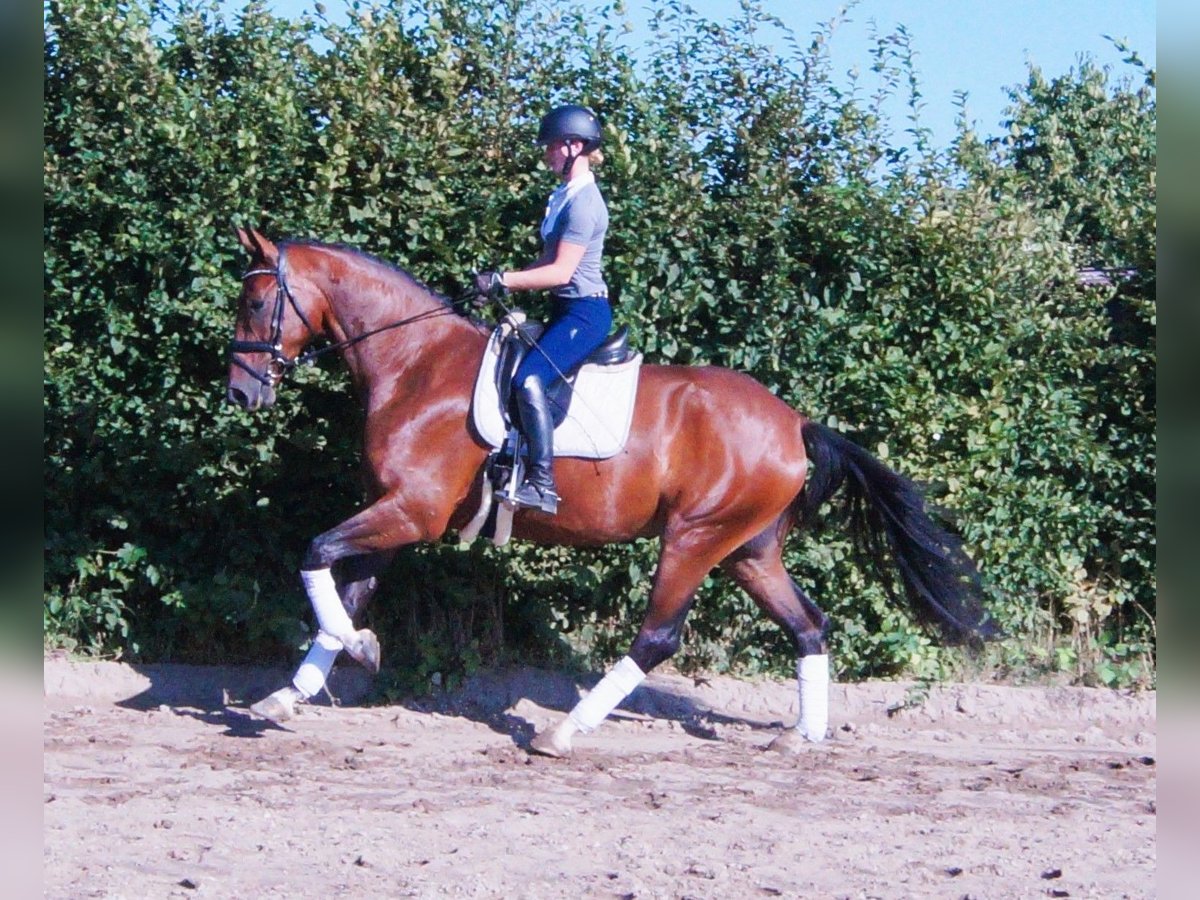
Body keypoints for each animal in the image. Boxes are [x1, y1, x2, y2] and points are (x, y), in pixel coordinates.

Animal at [225, 229, 993, 758]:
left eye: (256, 301)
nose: (240, 393)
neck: (415, 364)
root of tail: (794, 422)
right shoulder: (399, 515)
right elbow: (345, 588)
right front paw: (296, 688)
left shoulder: (412, 511)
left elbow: (314, 552)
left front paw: (349, 653)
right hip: (749, 548)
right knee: (809, 625)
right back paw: (800, 736)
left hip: (694, 536)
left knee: (658, 635)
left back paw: (564, 732)